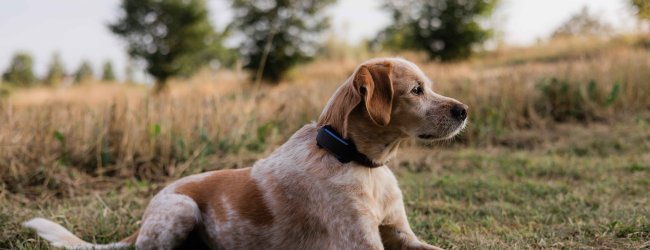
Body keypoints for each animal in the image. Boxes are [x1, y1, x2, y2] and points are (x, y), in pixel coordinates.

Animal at [24, 57, 466, 249]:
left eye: (429, 85)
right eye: (416, 90)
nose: (465, 110)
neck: (360, 162)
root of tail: (145, 214)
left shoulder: (403, 236)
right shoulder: (361, 244)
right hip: (181, 209)